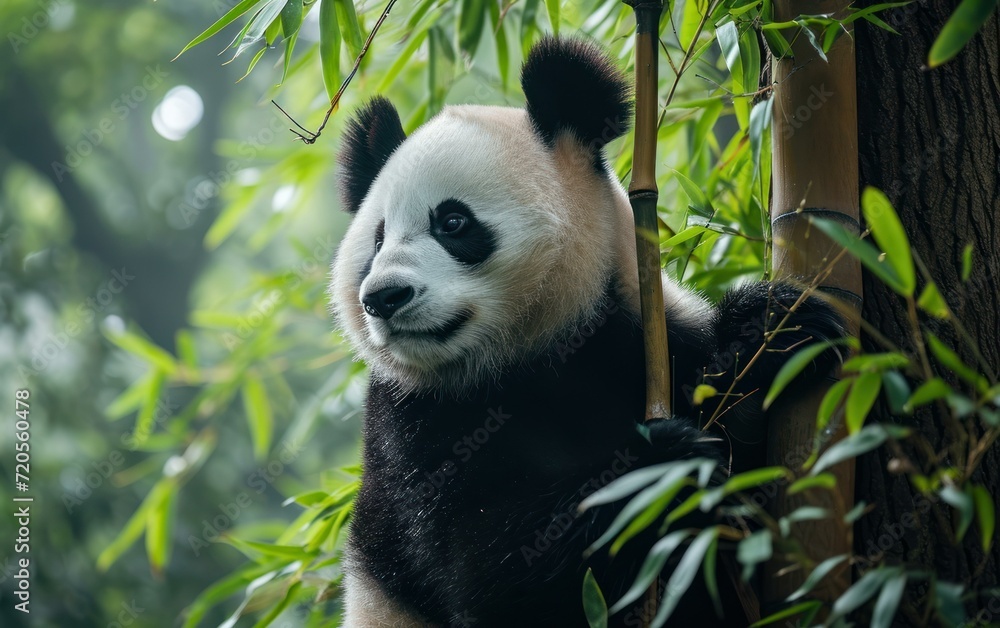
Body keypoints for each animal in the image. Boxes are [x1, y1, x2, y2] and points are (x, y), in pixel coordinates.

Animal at [330, 37, 843, 627]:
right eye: (377, 239)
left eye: (452, 223)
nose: (383, 297)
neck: (536, 353)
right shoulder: (411, 431)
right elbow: (488, 570)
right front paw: (663, 469)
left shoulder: (644, 334)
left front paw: (776, 331)